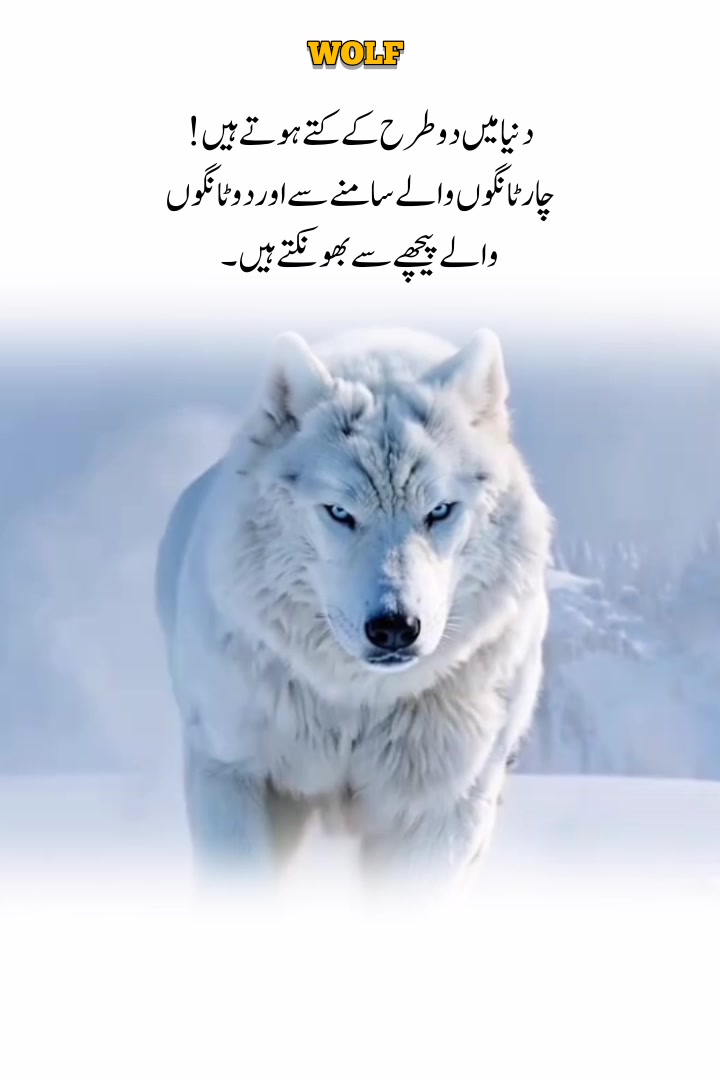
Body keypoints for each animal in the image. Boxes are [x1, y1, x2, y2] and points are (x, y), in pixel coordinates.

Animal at [155, 327, 552, 884]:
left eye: (439, 511)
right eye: (340, 513)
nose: (394, 628)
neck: (358, 704)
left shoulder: (443, 809)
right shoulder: (232, 771)